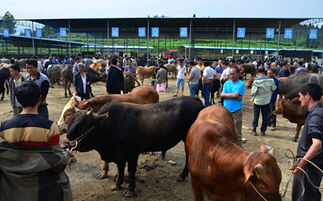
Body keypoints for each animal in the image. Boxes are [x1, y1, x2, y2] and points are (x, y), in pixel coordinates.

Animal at [67, 96, 204, 197]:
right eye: (70, 122)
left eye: (80, 125)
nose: (68, 142)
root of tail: (193, 99)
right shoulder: (119, 154)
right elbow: (120, 169)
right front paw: (118, 184)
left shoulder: (132, 153)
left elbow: (131, 171)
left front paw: (130, 190)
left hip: (188, 139)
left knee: (189, 155)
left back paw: (182, 175)